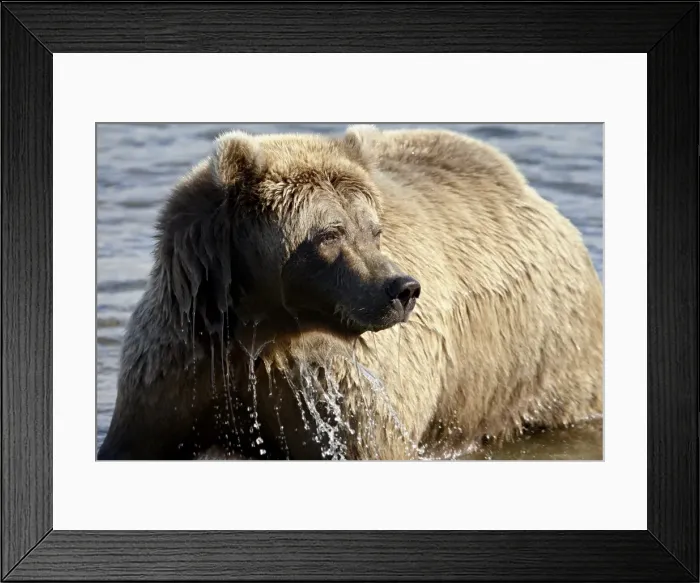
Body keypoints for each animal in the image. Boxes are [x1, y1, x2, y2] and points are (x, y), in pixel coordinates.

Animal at [97, 125, 603, 461]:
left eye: (373, 230)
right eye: (331, 232)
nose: (403, 289)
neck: (266, 332)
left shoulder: (345, 392)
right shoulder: (181, 365)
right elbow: (137, 440)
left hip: (543, 349)